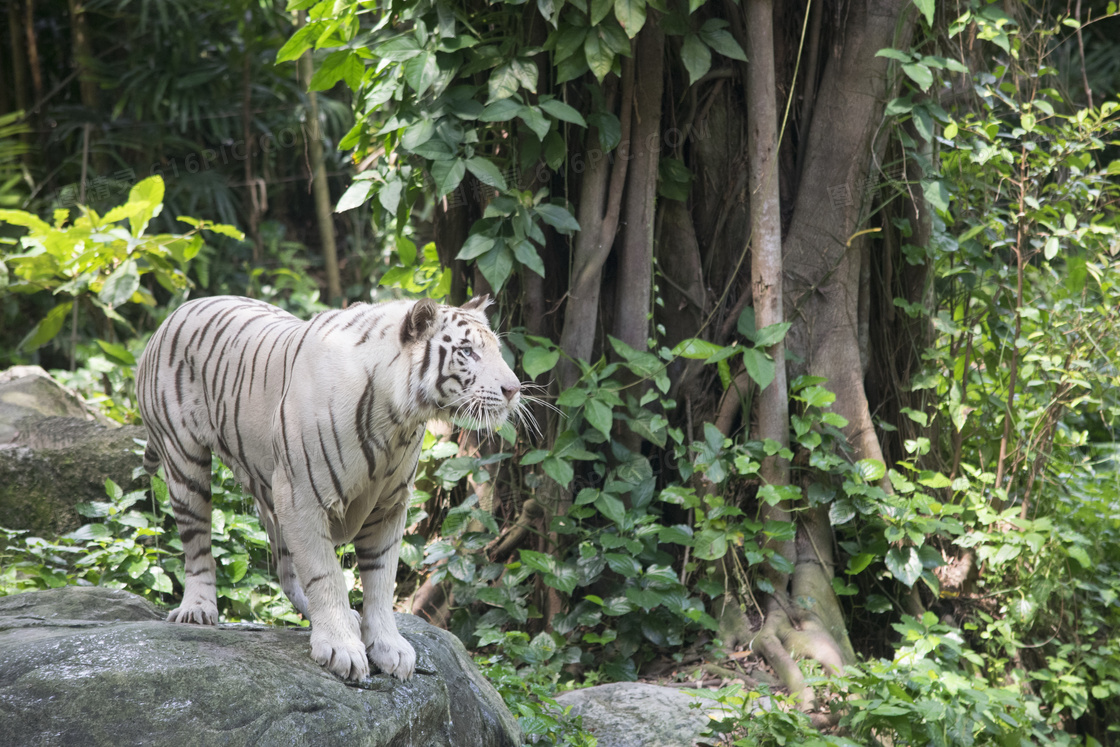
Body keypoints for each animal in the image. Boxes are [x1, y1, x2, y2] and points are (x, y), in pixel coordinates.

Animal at [137, 295, 521, 680]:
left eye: (496, 349)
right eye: (467, 351)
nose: (514, 389)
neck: (398, 422)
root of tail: (177, 312)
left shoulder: (388, 507)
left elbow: (381, 581)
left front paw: (388, 647)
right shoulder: (302, 498)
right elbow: (326, 575)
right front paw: (341, 648)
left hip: (270, 489)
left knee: (286, 571)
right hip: (186, 463)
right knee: (197, 545)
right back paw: (197, 609)